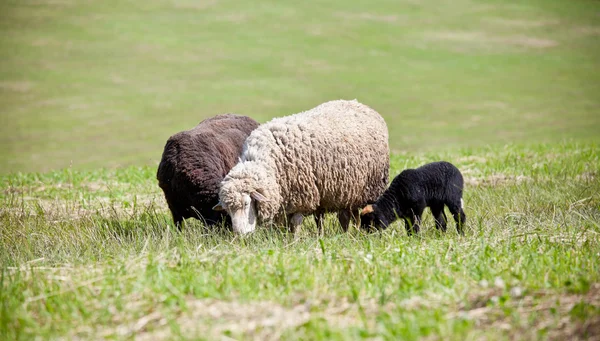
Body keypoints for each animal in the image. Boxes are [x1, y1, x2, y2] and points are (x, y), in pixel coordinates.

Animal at [213, 99, 392, 234]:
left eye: (245, 204)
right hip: (347, 190)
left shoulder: (302, 196)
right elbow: (284, 225)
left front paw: (294, 241)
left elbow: (296, 222)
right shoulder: (285, 198)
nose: (240, 235)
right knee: (345, 215)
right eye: (227, 210)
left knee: (352, 215)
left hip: (366, 188)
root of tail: (360, 105)